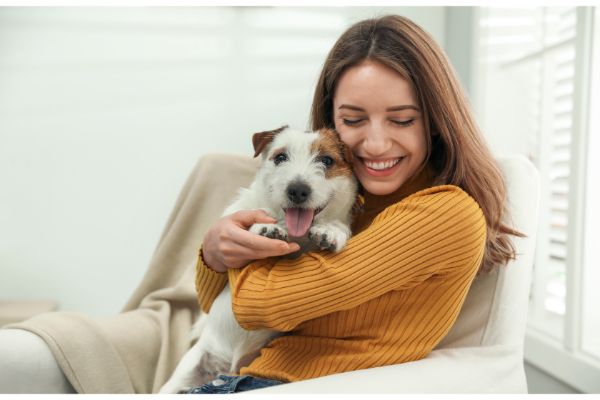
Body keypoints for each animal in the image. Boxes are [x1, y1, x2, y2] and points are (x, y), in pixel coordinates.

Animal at [157, 126, 358, 394]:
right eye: (280, 157)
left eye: (326, 160)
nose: (297, 190)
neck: (296, 234)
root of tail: (225, 368)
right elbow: (253, 215)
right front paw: (265, 227)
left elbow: (337, 227)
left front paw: (331, 231)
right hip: (187, 371)